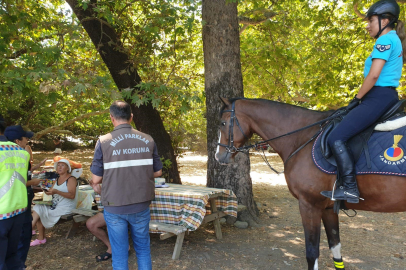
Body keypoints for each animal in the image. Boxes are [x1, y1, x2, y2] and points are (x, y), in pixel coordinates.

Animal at [214, 97, 406, 270]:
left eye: (223, 123)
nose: (218, 156)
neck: (303, 138)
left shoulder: (309, 205)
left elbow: (312, 253)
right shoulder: (328, 207)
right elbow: (335, 247)